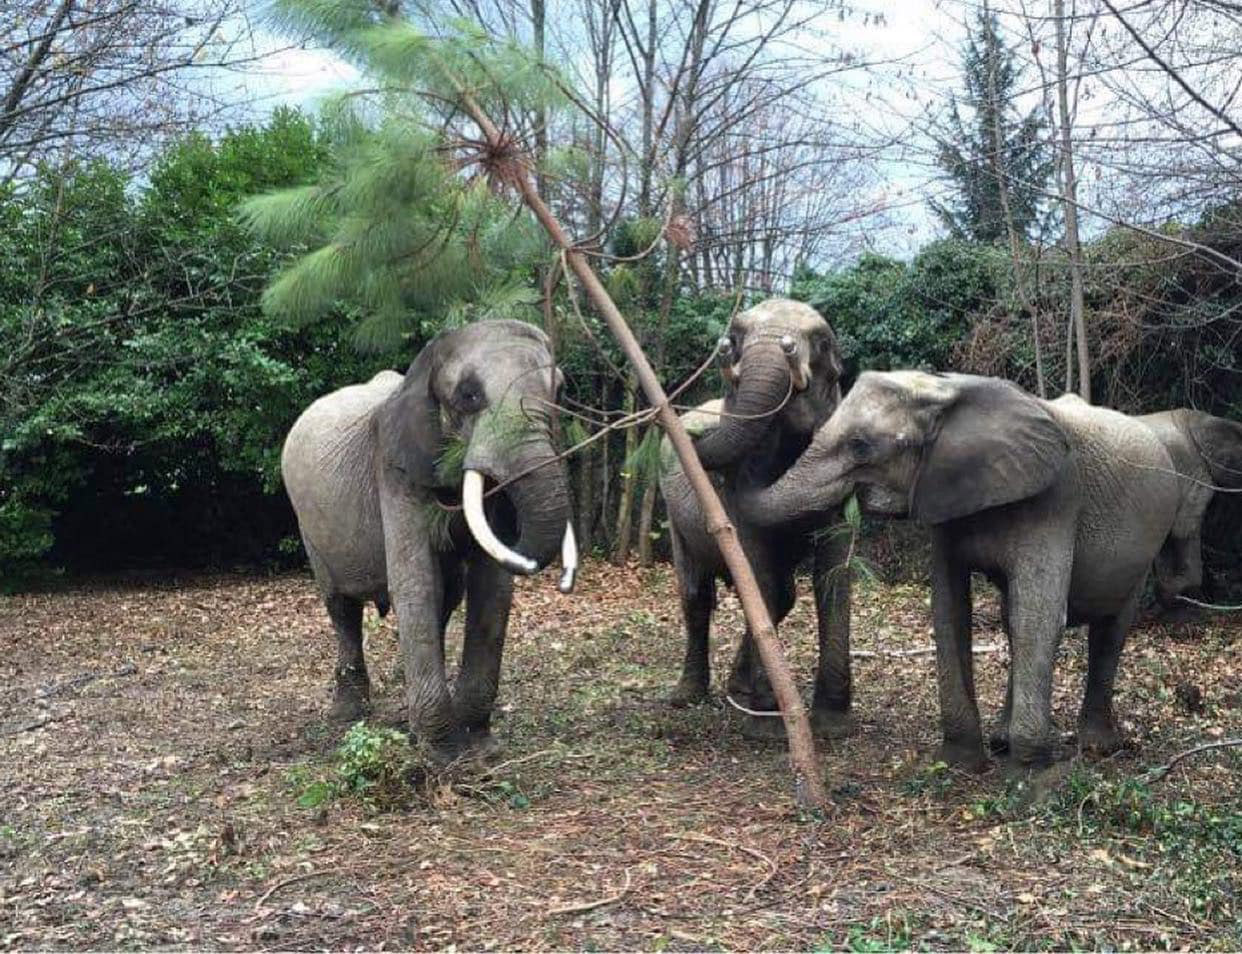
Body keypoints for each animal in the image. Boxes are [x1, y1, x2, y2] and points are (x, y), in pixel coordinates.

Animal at [281, 318, 576, 760]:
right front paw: (441, 754)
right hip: (309, 524)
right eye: (469, 395)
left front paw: (478, 745)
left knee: (446, 597)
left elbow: (492, 589)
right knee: (341, 606)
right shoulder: (394, 468)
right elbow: (415, 581)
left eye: (559, 393)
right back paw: (347, 714)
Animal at [660, 295, 854, 735]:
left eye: (821, 342)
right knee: (696, 593)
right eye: (733, 339)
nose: (692, 433)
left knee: (783, 594)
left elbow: (833, 573)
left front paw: (832, 723)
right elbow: (758, 569)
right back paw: (687, 697)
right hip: (673, 515)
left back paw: (739, 688)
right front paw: (767, 725)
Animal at [735, 367, 1182, 770]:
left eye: (860, 446)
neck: (944, 390)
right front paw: (961, 762)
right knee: (1011, 620)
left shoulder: (1056, 499)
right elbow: (951, 611)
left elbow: (1039, 618)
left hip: (1148, 540)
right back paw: (1003, 741)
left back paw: (1097, 747)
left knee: (1109, 629)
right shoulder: (946, 499)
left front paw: (1033, 780)